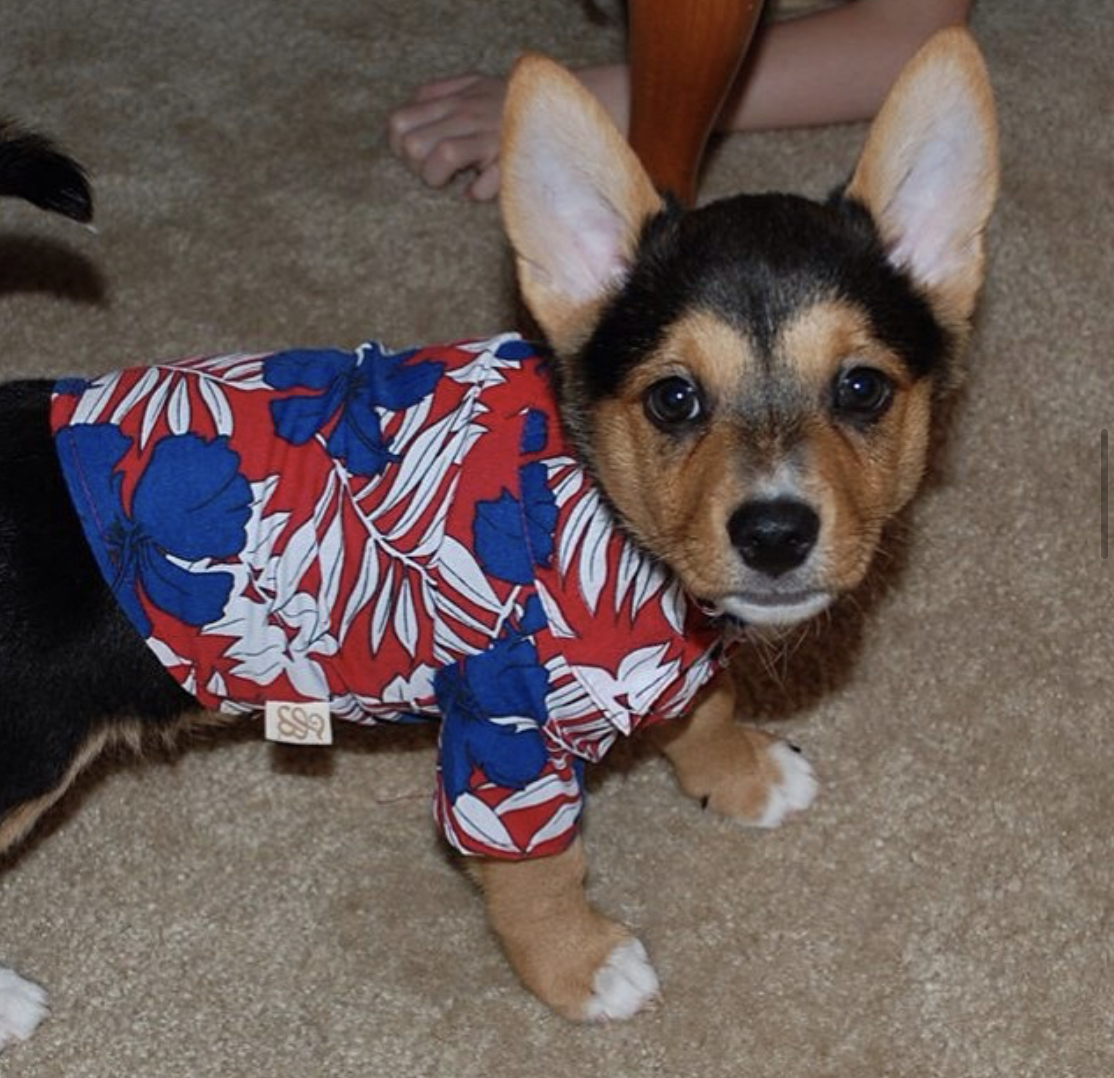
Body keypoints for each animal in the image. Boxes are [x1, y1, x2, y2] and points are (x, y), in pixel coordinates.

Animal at [0, 27, 993, 1042]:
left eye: (862, 388)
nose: (774, 532)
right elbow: (539, 873)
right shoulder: (501, 738)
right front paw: (581, 967)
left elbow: (704, 704)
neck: (600, 507)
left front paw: (743, 773)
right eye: (674, 399)